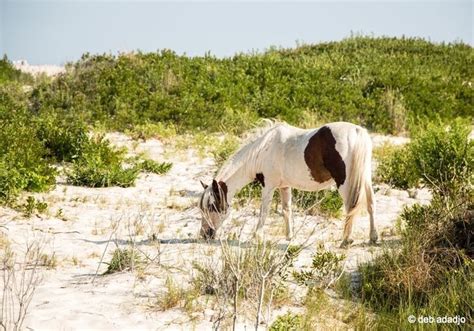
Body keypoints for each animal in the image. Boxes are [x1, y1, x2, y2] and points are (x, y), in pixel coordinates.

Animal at [198, 120, 380, 248]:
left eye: (212, 207)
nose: (204, 235)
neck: (262, 150)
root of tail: (358, 132)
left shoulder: (268, 186)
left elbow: (264, 212)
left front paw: (257, 236)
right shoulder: (284, 186)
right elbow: (287, 210)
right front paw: (289, 236)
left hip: (345, 183)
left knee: (351, 207)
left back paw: (346, 240)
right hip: (365, 178)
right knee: (371, 204)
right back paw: (373, 238)